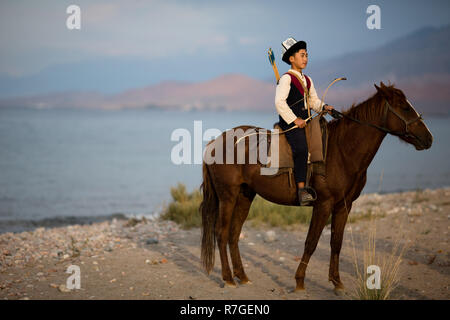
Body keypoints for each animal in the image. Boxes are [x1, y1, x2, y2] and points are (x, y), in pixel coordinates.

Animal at [200, 82, 432, 292]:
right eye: (403, 106)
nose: (428, 138)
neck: (342, 150)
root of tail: (214, 143)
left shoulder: (343, 206)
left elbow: (336, 242)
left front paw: (337, 282)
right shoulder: (323, 205)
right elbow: (311, 242)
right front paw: (300, 282)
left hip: (245, 196)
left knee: (233, 234)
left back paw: (242, 276)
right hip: (228, 196)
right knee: (221, 233)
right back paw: (228, 278)